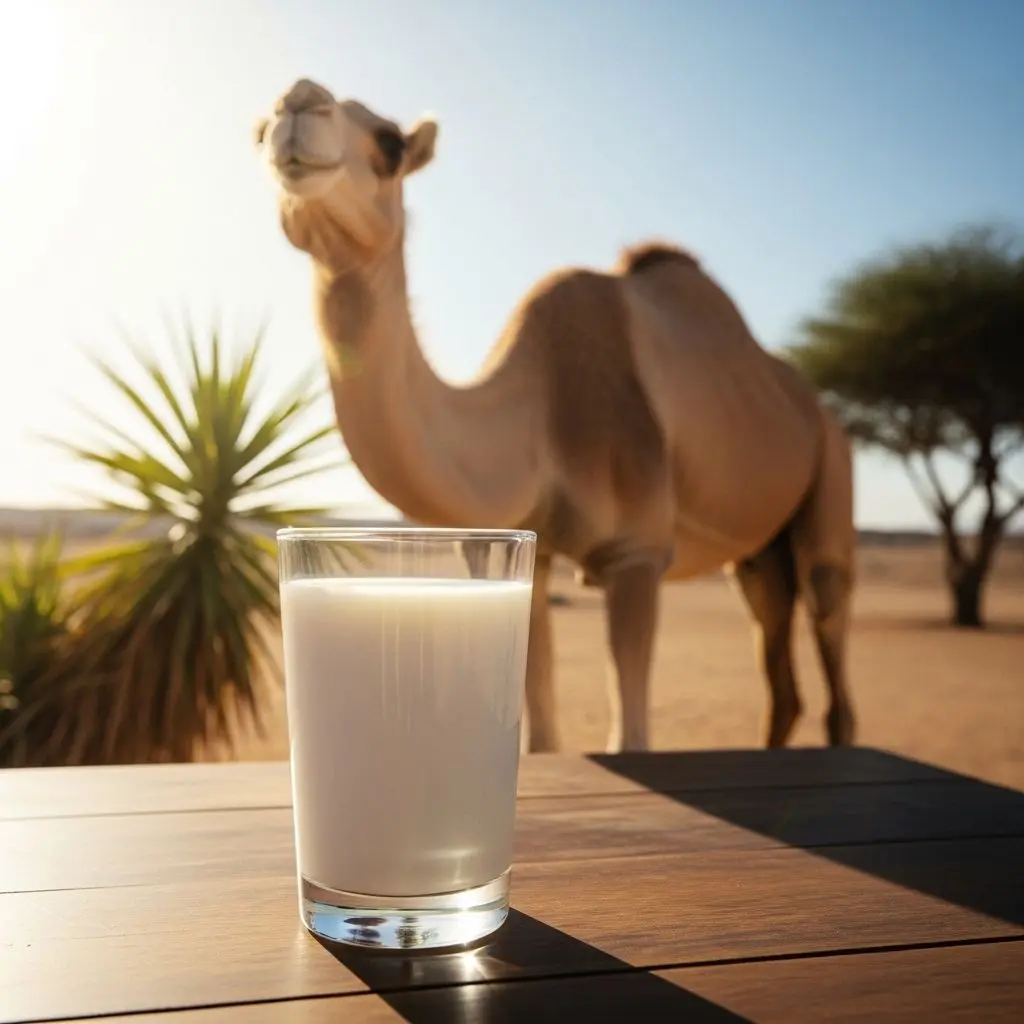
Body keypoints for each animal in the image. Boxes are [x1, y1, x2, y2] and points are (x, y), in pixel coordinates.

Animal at [254, 78, 857, 754]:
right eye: (256, 131)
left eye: (390, 142)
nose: (298, 102)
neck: (538, 423)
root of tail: (818, 408)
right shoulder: (518, 550)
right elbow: (540, 733)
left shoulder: (636, 552)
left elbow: (631, 737)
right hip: (756, 559)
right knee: (781, 670)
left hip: (831, 480)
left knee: (830, 618)